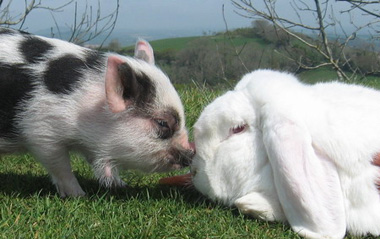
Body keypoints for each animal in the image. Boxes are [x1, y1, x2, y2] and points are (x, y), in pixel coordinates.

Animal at [0, 27, 194, 197]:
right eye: (162, 123)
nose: (191, 155)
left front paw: (120, 185)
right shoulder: (41, 131)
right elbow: (60, 166)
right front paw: (79, 195)